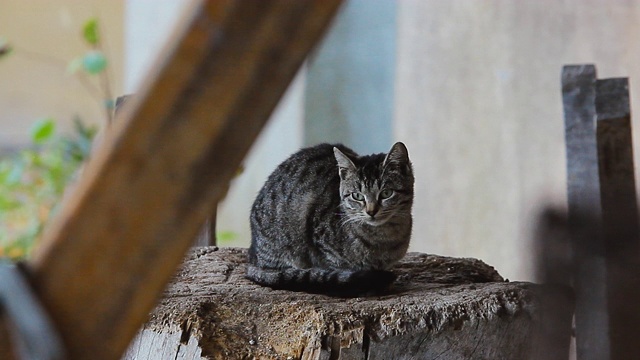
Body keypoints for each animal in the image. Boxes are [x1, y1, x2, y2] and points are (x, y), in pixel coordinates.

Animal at [245, 141, 416, 296]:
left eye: (386, 193)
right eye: (357, 196)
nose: (371, 211)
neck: (383, 238)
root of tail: (253, 257)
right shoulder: (324, 249)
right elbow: (339, 273)